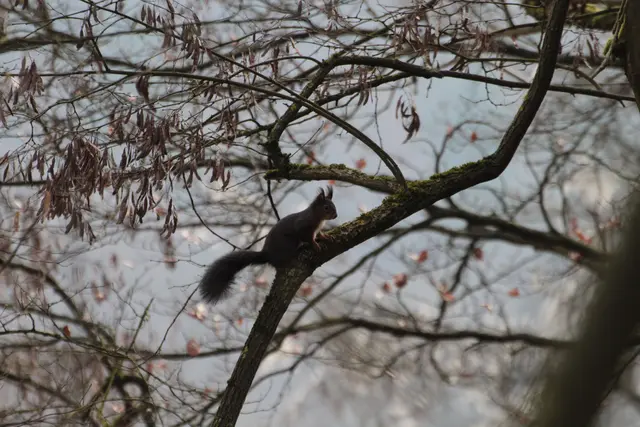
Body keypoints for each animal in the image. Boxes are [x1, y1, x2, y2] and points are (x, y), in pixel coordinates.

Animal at [198, 186, 338, 304]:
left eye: (333, 205)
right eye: (326, 207)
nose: (336, 215)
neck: (317, 218)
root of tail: (267, 255)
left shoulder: (316, 230)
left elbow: (319, 234)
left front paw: (327, 237)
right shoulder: (303, 226)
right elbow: (307, 237)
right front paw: (315, 244)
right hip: (288, 244)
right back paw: (299, 249)